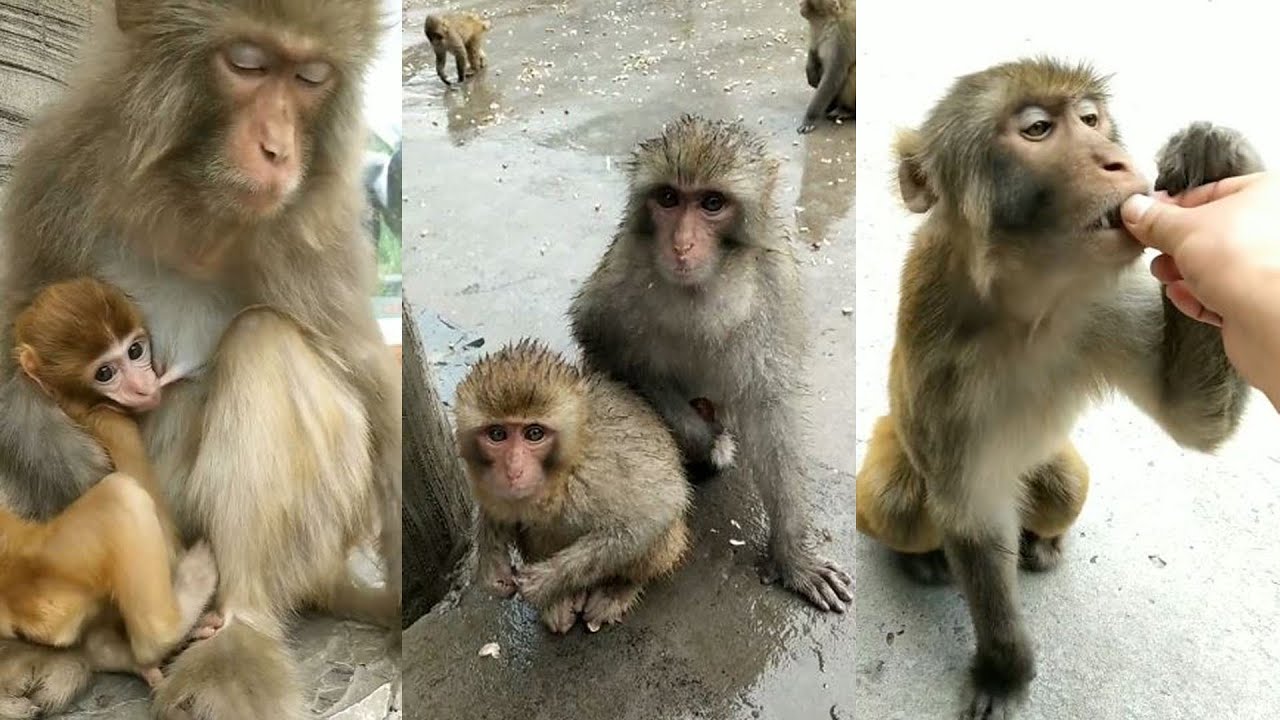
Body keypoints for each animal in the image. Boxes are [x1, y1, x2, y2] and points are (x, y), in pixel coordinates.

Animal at [4, 276, 220, 686]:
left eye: (135, 350)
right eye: (105, 373)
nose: (143, 385)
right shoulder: (113, 424)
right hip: (56, 577)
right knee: (123, 498)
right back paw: (176, 615)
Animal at [454, 339, 692, 634]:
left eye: (534, 433)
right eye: (497, 434)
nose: (513, 470)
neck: (562, 472)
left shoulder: (596, 474)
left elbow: (649, 517)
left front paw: (547, 580)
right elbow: (496, 511)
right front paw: (491, 569)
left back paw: (618, 588)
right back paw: (562, 600)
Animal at [568, 115, 854, 613]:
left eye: (712, 203)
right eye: (668, 198)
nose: (682, 244)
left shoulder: (774, 286)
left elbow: (768, 410)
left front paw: (793, 556)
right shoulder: (620, 275)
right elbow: (608, 350)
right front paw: (705, 441)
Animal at [797, 0, 855, 134]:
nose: (800, 3)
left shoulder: (841, 36)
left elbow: (833, 75)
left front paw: (810, 118)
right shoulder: (817, 30)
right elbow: (814, 51)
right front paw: (810, 70)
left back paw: (847, 110)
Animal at [853, 58, 1255, 718]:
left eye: (1091, 120)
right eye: (1039, 129)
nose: (1113, 159)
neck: (1025, 308)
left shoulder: (1103, 303)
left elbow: (1192, 417)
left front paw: (1215, 162)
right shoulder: (941, 355)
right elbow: (972, 517)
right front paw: (1004, 670)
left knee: (1065, 484)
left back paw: (1044, 541)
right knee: (896, 500)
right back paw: (922, 559)